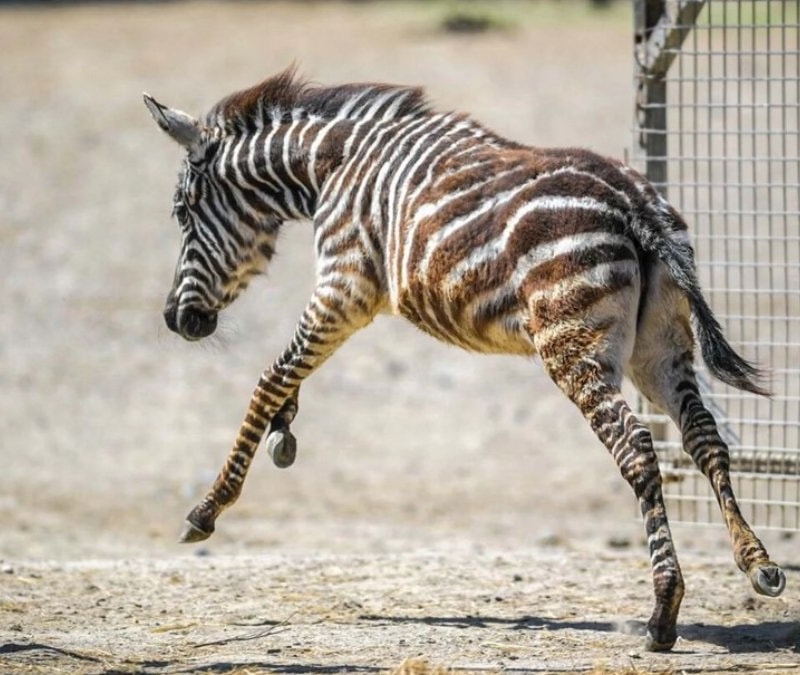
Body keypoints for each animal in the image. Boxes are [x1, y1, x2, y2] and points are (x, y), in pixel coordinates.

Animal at [143, 68, 785, 651]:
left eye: (182, 212)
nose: (177, 320)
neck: (330, 166)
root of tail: (636, 203)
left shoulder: (344, 286)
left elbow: (270, 377)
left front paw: (208, 507)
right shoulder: (342, 295)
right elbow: (289, 374)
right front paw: (285, 431)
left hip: (573, 345)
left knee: (637, 451)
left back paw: (662, 613)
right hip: (659, 348)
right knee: (705, 440)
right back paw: (757, 563)